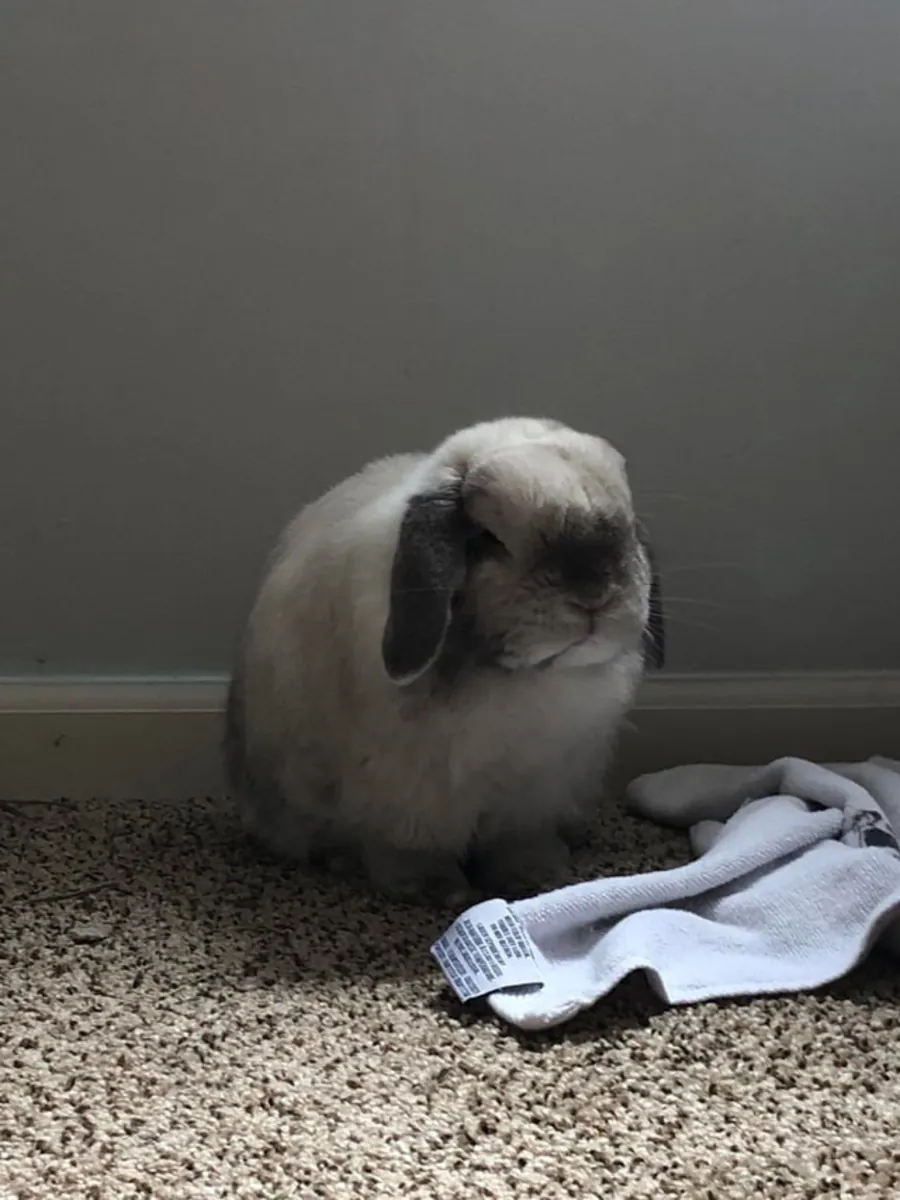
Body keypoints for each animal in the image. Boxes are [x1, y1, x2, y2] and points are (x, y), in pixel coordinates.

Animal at [225, 417, 664, 905]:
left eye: (627, 529)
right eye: (488, 540)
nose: (594, 594)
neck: (517, 676)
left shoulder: (534, 795)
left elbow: (517, 843)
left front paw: (535, 877)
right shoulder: (407, 796)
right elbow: (409, 846)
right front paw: (437, 889)